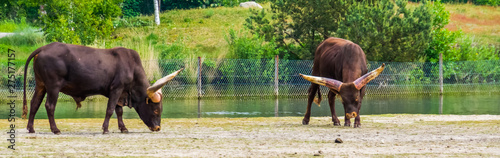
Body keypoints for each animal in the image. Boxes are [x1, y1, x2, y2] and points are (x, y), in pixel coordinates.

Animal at [22, 42, 184, 135]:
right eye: (156, 110)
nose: (157, 128)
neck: (131, 67)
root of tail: (44, 48)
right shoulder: (116, 89)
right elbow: (110, 109)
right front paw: (105, 129)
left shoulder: (121, 93)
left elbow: (119, 111)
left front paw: (123, 128)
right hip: (53, 87)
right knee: (49, 106)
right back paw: (55, 129)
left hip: (40, 85)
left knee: (34, 104)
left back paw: (31, 128)